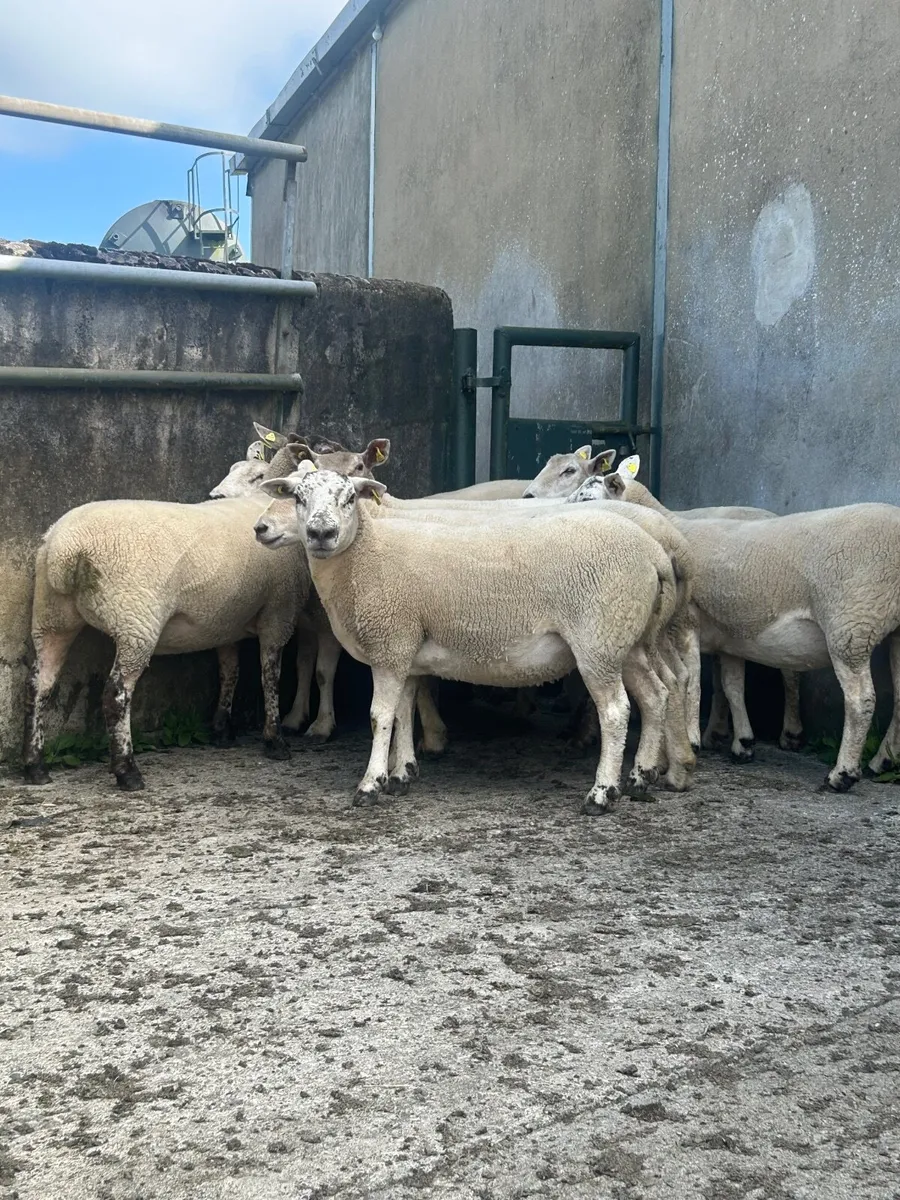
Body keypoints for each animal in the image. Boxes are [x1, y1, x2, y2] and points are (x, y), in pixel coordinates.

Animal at [23, 441, 316, 791]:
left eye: (256, 475)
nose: (216, 494)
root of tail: (65, 551)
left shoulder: (224, 620)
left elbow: (229, 671)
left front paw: (222, 729)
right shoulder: (279, 612)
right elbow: (270, 677)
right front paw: (275, 741)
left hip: (51, 615)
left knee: (40, 684)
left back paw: (36, 766)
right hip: (136, 621)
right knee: (115, 695)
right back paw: (127, 771)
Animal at [254, 467, 679, 813]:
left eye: (348, 499)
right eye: (298, 497)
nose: (320, 534)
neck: (365, 556)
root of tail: (654, 553)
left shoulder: (390, 644)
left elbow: (380, 717)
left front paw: (371, 784)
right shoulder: (407, 649)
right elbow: (404, 712)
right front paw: (402, 774)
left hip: (598, 640)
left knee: (616, 711)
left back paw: (602, 793)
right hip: (628, 640)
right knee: (656, 694)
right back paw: (640, 778)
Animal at [589, 457, 900, 791]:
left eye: (586, 493)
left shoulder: (687, 622)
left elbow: (692, 681)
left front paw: (692, 740)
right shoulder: (729, 635)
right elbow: (732, 687)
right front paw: (743, 743)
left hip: (852, 623)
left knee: (860, 699)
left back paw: (842, 773)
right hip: (891, 629)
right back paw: (882, 760)